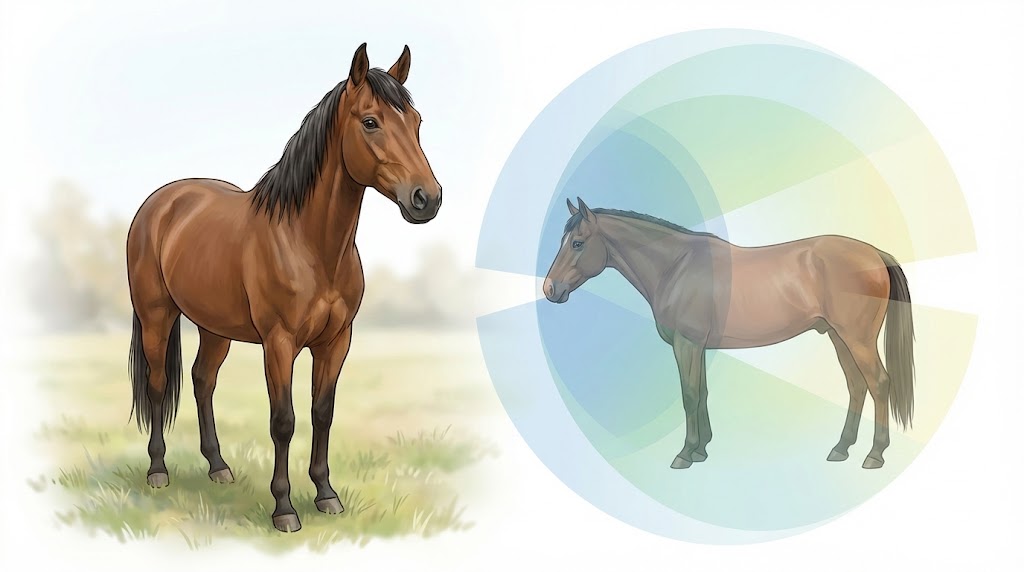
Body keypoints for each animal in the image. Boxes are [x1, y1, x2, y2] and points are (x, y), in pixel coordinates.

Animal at [126, 43, 441, 532]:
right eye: (370, 122)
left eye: (417, 121)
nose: (427, 198)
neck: (309, 243)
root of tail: (160, 202)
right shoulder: (279, 343)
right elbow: (283, 421)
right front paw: (284, 508)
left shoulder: (336, 341)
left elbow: (322, 413)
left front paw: (326, 494)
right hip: (156, 316)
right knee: (159, 384)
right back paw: (158, 471)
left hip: (215, 328)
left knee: (202, 380)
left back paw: (218, 467)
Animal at [542, 198, 914, 470]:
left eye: (578, 243)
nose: (550, 289)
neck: (675, 266)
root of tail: (874, 253)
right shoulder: (698, 347)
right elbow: (702, 392)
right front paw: (701, 450)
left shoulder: (686, 344)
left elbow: (689, 394)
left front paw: (684, 454)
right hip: (838, 337)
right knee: (857, 386)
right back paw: (841, 448)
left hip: (857, 339)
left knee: (878, 383)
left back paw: (874, 455)